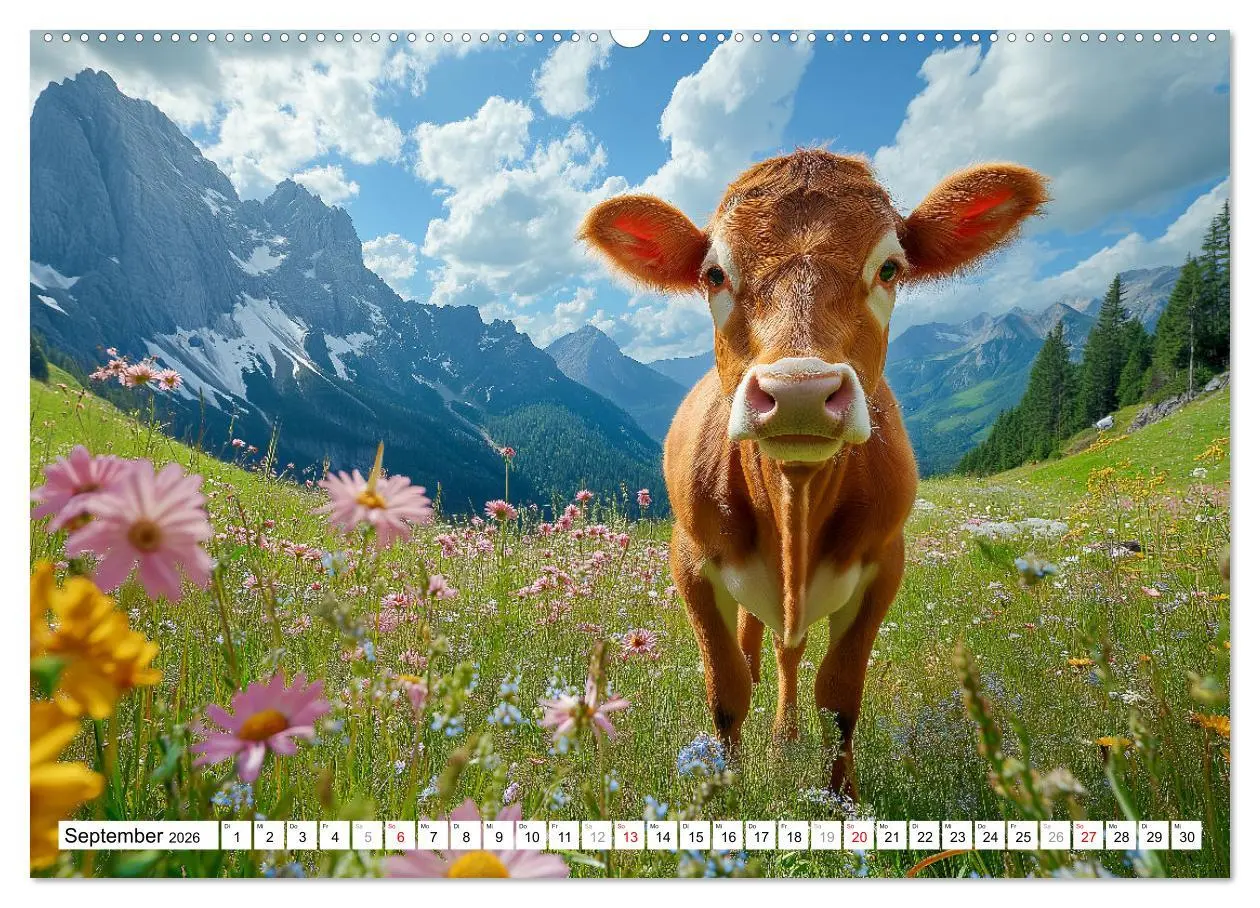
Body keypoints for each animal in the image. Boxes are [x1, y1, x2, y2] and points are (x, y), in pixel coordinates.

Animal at [581, 149, 1049, 795]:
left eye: (890, 268)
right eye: (714, 275)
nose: (799, 392)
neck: (793, 501)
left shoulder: (885, 563)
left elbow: (839, 695)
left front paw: (840, 796)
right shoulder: (690, 558)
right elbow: (726, 687)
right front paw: (725, 784)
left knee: (789, 652)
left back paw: (786, 733)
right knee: (758, 648)